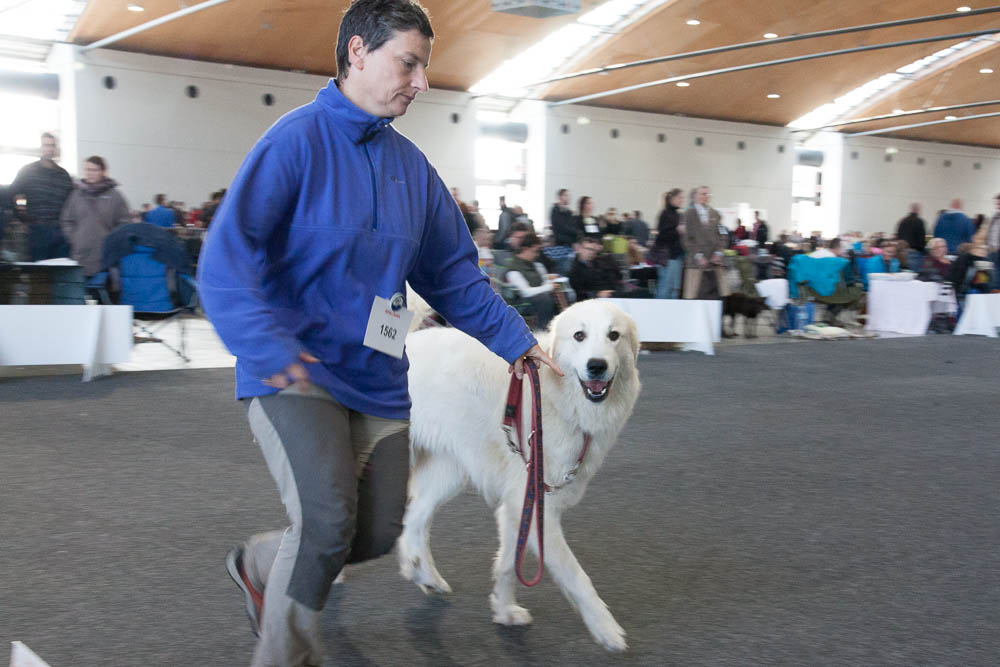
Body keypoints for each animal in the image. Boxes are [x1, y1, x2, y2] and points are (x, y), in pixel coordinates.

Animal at [394, 298, 636, 652]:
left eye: (614, 335)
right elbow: (577, 576)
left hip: (447, 472)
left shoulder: (519, 506)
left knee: (413, 518)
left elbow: (509, 563)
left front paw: (505, 610)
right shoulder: (538, 511)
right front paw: (606, 629)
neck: (553, 397)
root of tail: (409, 340)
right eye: (579, 336)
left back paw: (422, 574)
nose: (596, 366)